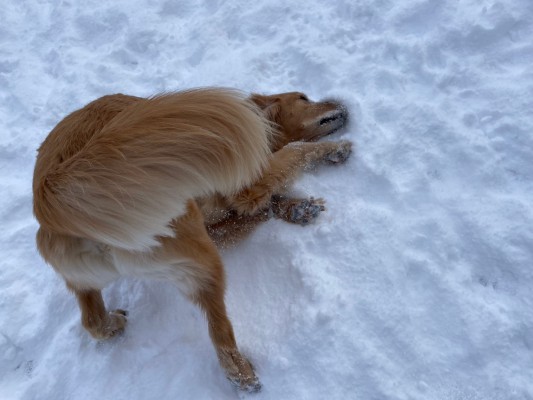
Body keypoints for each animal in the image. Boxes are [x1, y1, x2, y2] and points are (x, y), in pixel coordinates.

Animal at [32, 87, 350, 390]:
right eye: (303, 97)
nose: (345, 104)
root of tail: (51, 192)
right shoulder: (246, 185)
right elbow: (297, 150)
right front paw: (335, 150)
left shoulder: (218, 225)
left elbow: (260, 206)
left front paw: (298, 208)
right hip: (197, 251)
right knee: (219, 332)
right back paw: (241, 373)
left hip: (89, 275)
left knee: (91, 320)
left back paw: (111, 325)